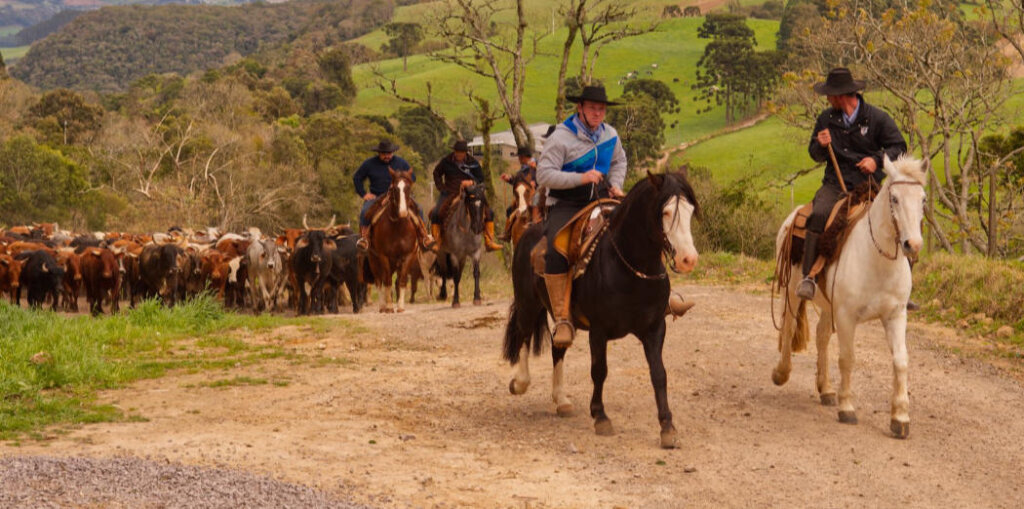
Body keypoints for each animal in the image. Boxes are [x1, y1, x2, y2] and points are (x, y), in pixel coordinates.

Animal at [365, 169, 420, 313]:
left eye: (408, 187)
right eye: (394, 188)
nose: (403, 212)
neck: (398, 227)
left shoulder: (408, 256)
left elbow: (402, 281)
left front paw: (400, 306)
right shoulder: (384, 256)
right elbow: (387, 280)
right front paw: (389, 306)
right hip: (374, 260)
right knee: (379, 281)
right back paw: (382, 305)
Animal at [502, 172, 700, 448]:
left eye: (690, 210)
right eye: (666, 211)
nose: (688, 259)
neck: (627, 266)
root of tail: (527, 234)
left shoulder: (654, 329)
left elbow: (659, 374)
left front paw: (667, 427)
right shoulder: (599, 330)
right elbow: (599, 371)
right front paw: (600, 417)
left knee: (557, 346)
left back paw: (561, 400)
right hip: (528, 304)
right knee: (523, 333)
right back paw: (520, 383)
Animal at [771, 155, 926, 439]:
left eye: (922, 199)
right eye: (894, 198)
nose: (913, 245)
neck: (878, 260)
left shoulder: (896, 315)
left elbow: (900, 361)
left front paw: (900, 417)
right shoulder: (846, 316)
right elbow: (847, 358)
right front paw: (847, 407)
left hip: (828, 306)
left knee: (821, 336)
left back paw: (826, 389)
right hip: (791, 291)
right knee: (788, 327)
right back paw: (781, 373)